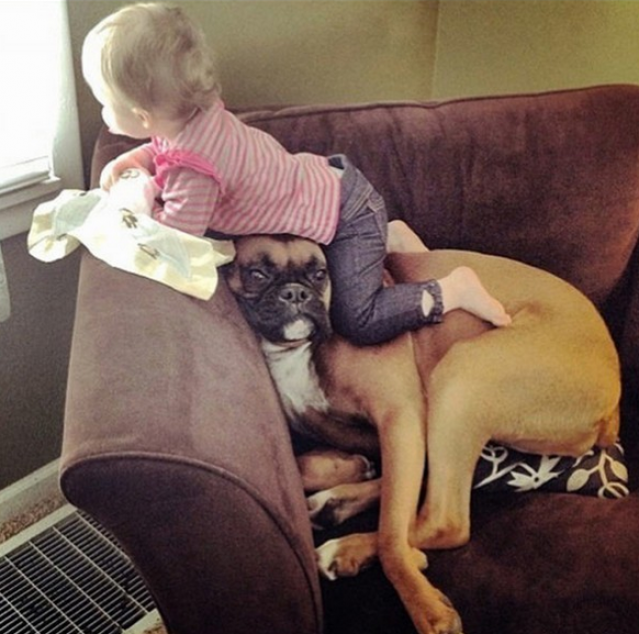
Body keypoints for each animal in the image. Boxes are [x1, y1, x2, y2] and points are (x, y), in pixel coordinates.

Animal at [224, 234, 620, 634]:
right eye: (256, 274)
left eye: (319, 273)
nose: (295, 293)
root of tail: (612, 399)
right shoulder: (359, 430)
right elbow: (307, 463)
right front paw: (346, 469)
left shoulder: (400, 418)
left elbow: (392, 531)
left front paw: (423, 603)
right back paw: (335, 504)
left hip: (462, 376)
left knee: (442, 522)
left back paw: (352, 547)